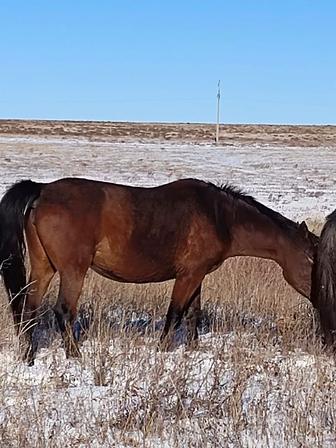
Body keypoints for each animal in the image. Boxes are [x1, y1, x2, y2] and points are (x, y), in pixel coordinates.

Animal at [0, 177, 318, 362]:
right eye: (311, 260)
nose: (321, 295)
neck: (220, 217)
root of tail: (42, 190)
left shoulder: (197, 276)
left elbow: (193, 314)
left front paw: (192, 350)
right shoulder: (188, 275)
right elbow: (175, 314)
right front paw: (163, 351)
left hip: (44, 267)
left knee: (28, 309)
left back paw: (28, 356)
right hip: (73, 270)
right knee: (63, 311)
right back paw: (75, 356)